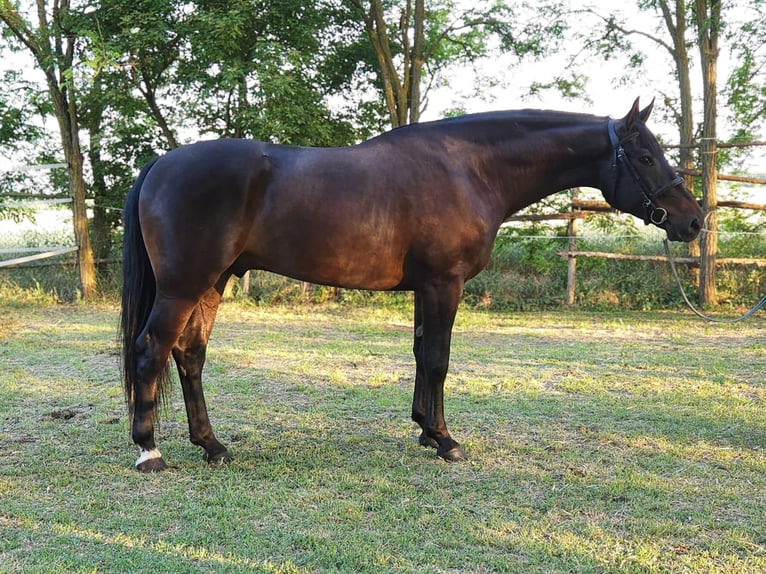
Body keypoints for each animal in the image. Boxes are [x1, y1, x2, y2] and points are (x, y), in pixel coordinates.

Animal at [121, 98, 703, 472]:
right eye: (646, 157)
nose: (693, 220)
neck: (470, 169)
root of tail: (160, 164)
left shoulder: (427, 289)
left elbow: (424, 356)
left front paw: (425, 428)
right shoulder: (445, 284)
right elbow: (440, 359)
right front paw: (446, 440)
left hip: (212, 283)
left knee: (189, 355)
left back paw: (212, 446)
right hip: (183, 286)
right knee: (152, 350)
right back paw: (150, 452)